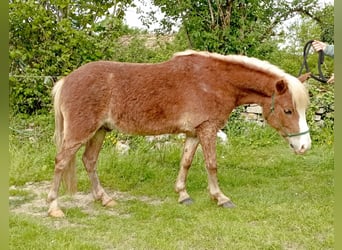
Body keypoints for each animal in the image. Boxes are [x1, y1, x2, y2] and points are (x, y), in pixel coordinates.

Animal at [46, 50, 312, 217]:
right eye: (288, 110)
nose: (304, 146)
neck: (215, 81)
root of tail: (67, 80)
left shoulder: (194, 132)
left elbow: (186, 162)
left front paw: (183, 195)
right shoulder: (208, 129)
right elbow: (211, 164)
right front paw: (220, 198)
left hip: (99, 131)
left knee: (89, 161)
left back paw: (105, 199)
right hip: (80, 133)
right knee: (61, 162)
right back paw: (54, 208)